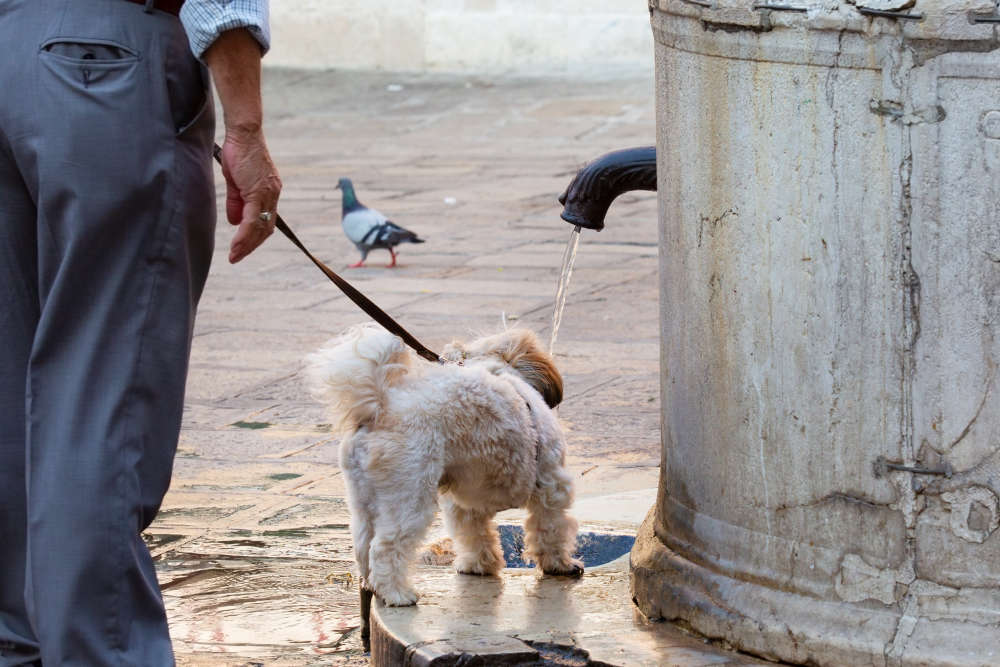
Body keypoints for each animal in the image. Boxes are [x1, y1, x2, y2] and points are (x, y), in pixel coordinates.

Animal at [308, 326, 584, 608]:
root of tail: (380, 407)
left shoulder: (465, 503)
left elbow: (475, 535)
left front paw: (479, 565)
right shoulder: (551, 487)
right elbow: (551, 530)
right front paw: (559, 564)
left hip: (363, 500)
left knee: (364, 546)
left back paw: (371, 587)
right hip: (409, 497)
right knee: (386, 547)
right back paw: (397, 593)